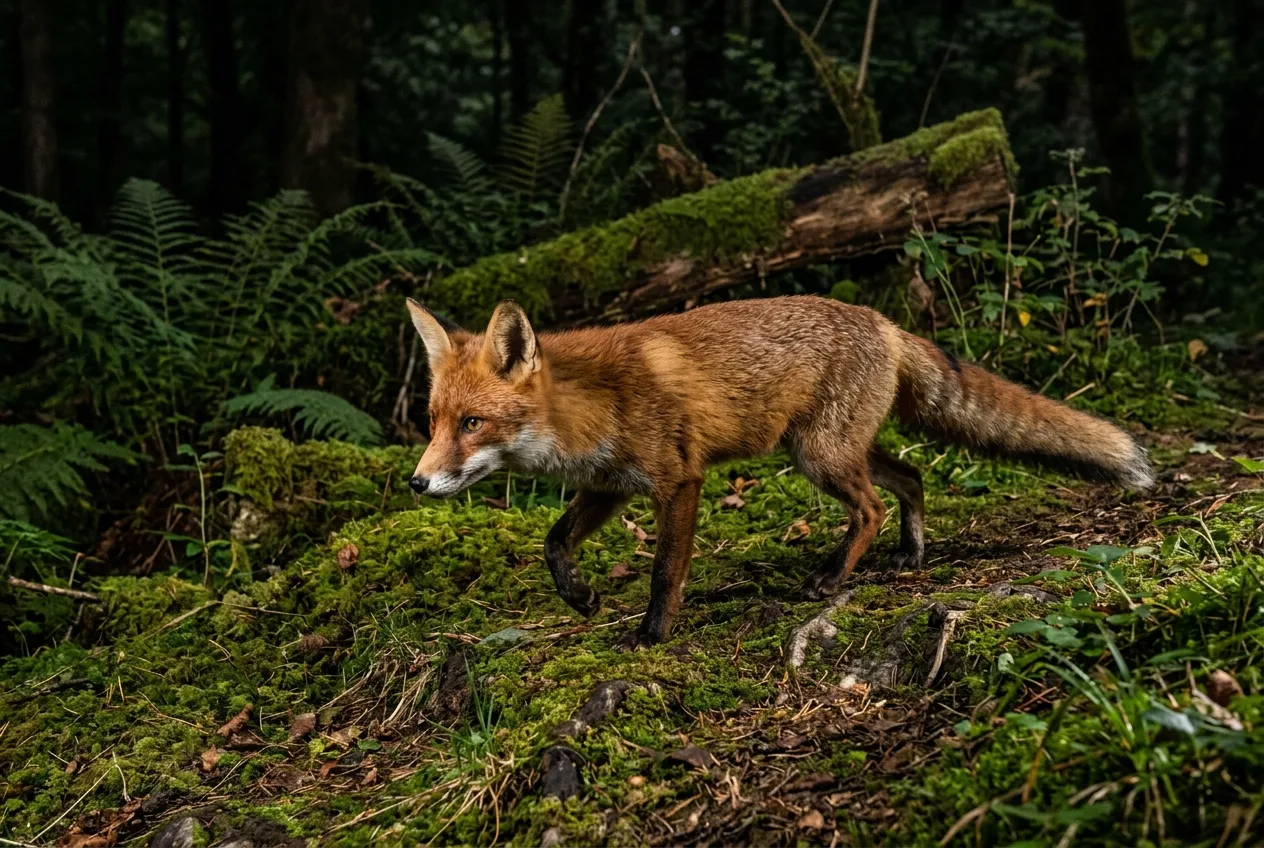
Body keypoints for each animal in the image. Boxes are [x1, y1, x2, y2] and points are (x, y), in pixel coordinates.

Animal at [404, 295, 1154, 648]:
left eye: (473, 424)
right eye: (434, 422)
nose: (417, 482)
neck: (594, 402)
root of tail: (884, 321)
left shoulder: (679, 481)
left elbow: (665, 571)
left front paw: (651, 634)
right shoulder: (609, 487)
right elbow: (553, 541)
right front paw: (580, 597)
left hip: (820, 457)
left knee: (872, 508)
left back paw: (831, 577)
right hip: (830, 450)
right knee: (912, 478)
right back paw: (911, 552)